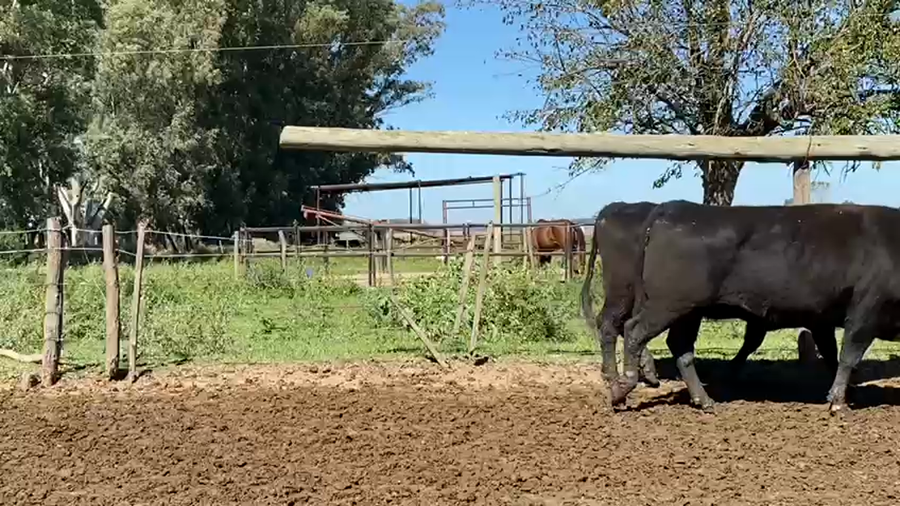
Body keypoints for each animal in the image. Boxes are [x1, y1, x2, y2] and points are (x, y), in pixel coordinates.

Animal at [582, 201, 838, 389]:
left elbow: (752, 341)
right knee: (612, 324)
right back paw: (617, 374)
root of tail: (613, 208)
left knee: (617, 325)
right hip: (623, 292)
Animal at [611, 200, 898, 414]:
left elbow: (832, 355)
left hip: (688, 311)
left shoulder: (822, 319)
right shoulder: (865, 311)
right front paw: (838, 402)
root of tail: (671, 208)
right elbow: (849, 355)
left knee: (680, 348)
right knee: (634, 331)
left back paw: (704, 400)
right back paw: (621, 390)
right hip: (668, 304)